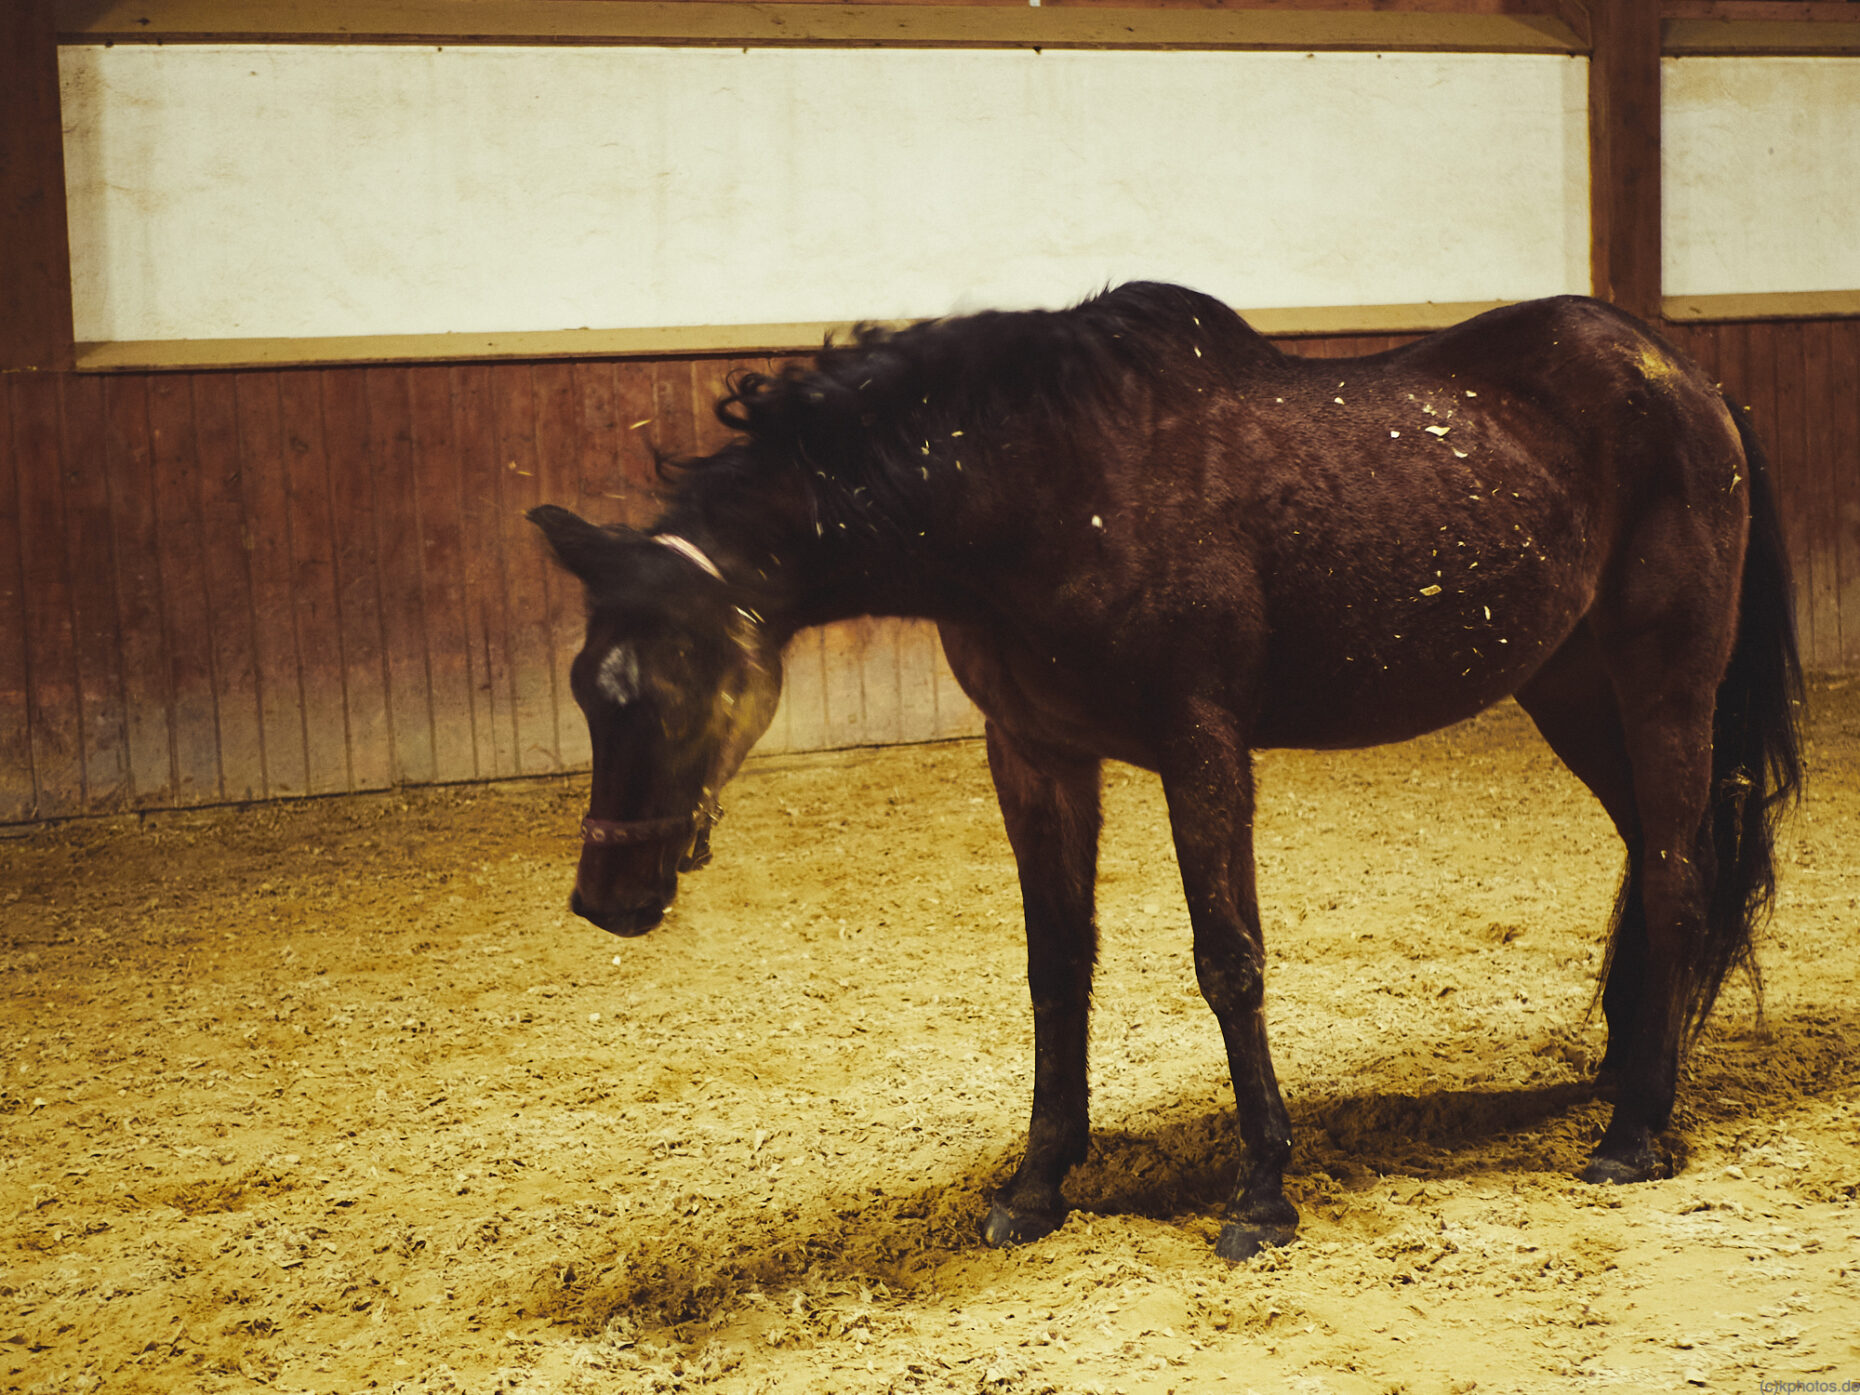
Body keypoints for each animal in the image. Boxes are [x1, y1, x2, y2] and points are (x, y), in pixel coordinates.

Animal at [535, 284, 1800, 1264]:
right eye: (585, 687)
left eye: (661, 695)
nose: (605, 900)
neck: (1049, 487)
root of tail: (1689, 379)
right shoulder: (1036, 755)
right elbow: (1056, 970)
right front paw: (1036, 1188)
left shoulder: (1202, 745)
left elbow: (1228, 962)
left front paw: (1262, 1196)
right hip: (1570, 690)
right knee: (1659, 859)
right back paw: (1623, 1067)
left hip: (1664, 682)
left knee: (1679, 876)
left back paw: (1635, 1133)